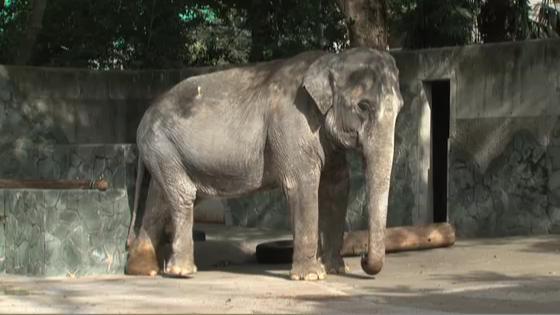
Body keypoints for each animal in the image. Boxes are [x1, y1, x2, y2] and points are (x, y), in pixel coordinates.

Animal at [123, 47, 402, 282]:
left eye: (400, 108)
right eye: (363, 106)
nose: (363, 257)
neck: (329, 59)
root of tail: (144, 117)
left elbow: (336, 187)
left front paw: (335, 269)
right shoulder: (292, 122)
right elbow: (302, 185)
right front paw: (312, 276)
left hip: (163, 152)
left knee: (160, 200)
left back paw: (143, 270)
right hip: (162, 146)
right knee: (182, 195)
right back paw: (182, 272)